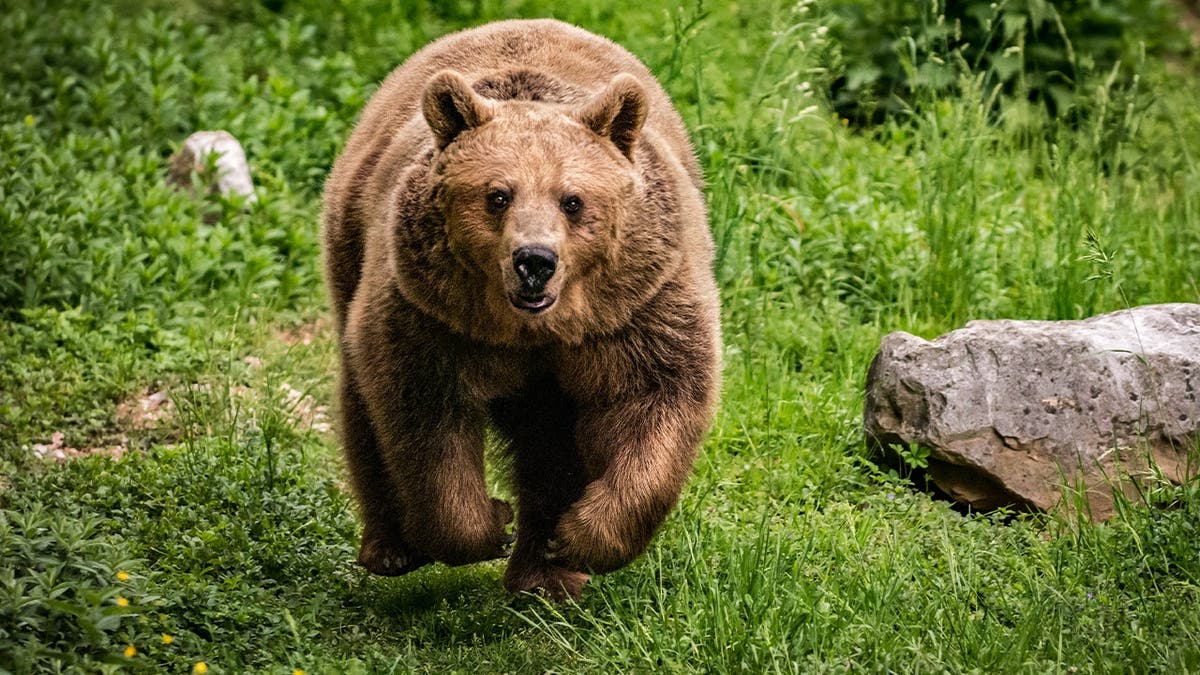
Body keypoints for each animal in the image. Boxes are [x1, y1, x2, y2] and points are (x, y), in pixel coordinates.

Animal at [322, 18, 721, 600]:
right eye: (498, 195)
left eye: (572, 200)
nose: (535, 261)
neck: (533, 330)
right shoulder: (434, 316)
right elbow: (424, 418)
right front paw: (491, 522)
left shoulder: (636, 309)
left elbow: (657, 396)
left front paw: (577, 536)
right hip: (353, 246)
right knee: (362, 405)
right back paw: (393, 548)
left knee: (551, 444)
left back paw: (545, 575)